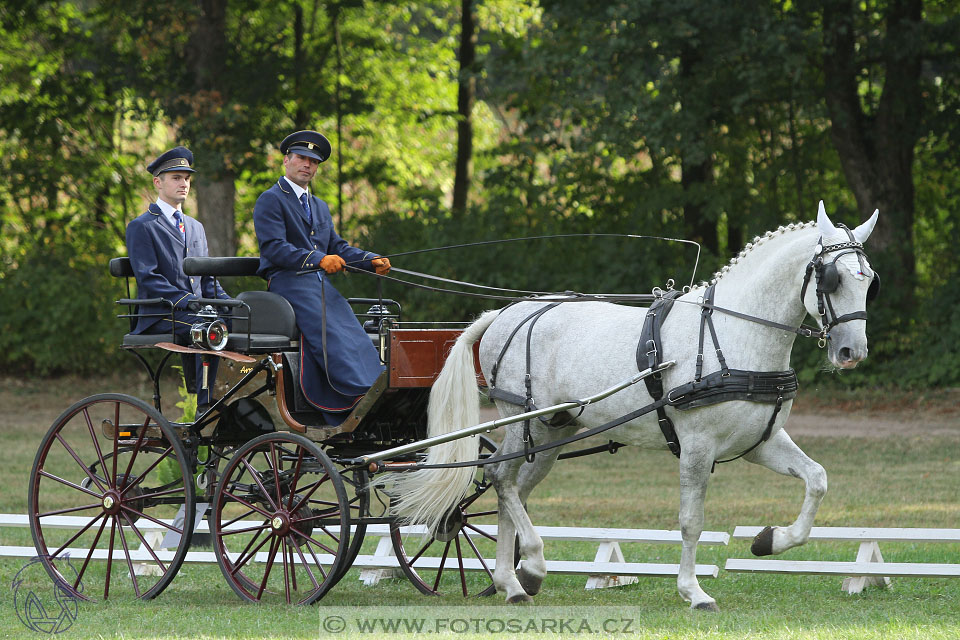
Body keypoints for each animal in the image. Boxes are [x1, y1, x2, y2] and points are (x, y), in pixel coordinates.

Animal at [388, 204, 876, 608]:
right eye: (832, 279)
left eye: (869, 279)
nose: (851, 352)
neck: (733, 334)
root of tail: (508, 313)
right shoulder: (697, 446)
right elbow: (691, 521)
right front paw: (693, 592)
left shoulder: (760, 443)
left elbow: (817, 479)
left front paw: (769, 541)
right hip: (525, 423)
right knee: (500, 479)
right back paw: (532, 565)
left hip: (552, 432)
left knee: (514, 490)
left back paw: (512, 582)